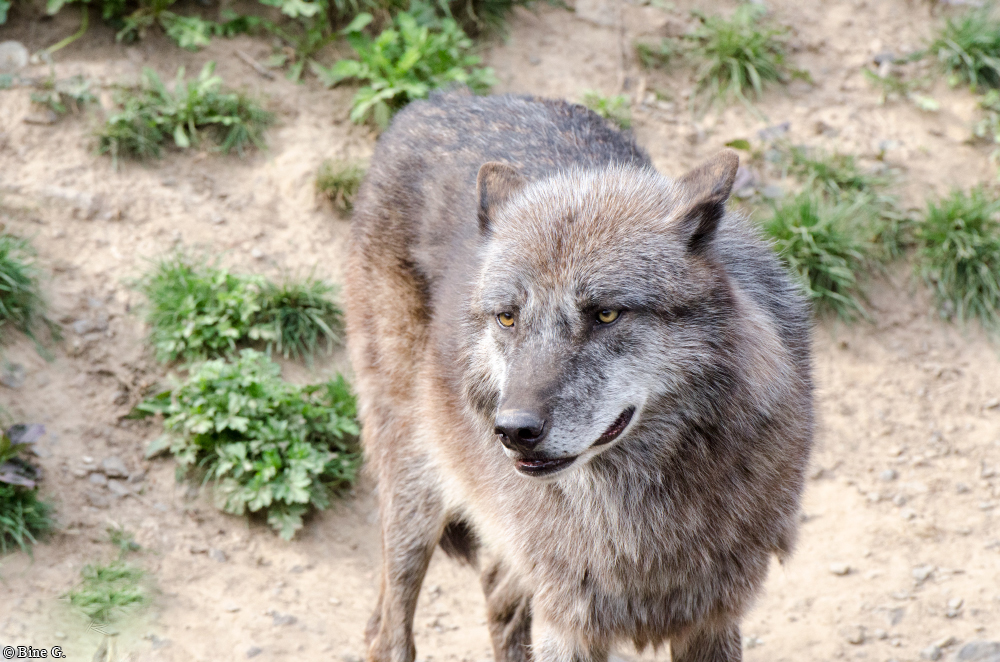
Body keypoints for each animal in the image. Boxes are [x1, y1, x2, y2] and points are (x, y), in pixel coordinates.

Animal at [343, 91, 813, 662]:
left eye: (605, 314)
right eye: (508, 317)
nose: (513, 431)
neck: (634, 521)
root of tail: (440, 99)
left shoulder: (711, 617)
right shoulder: (568, 621)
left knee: (497, 597)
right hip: (415, 484)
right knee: (387, 631)